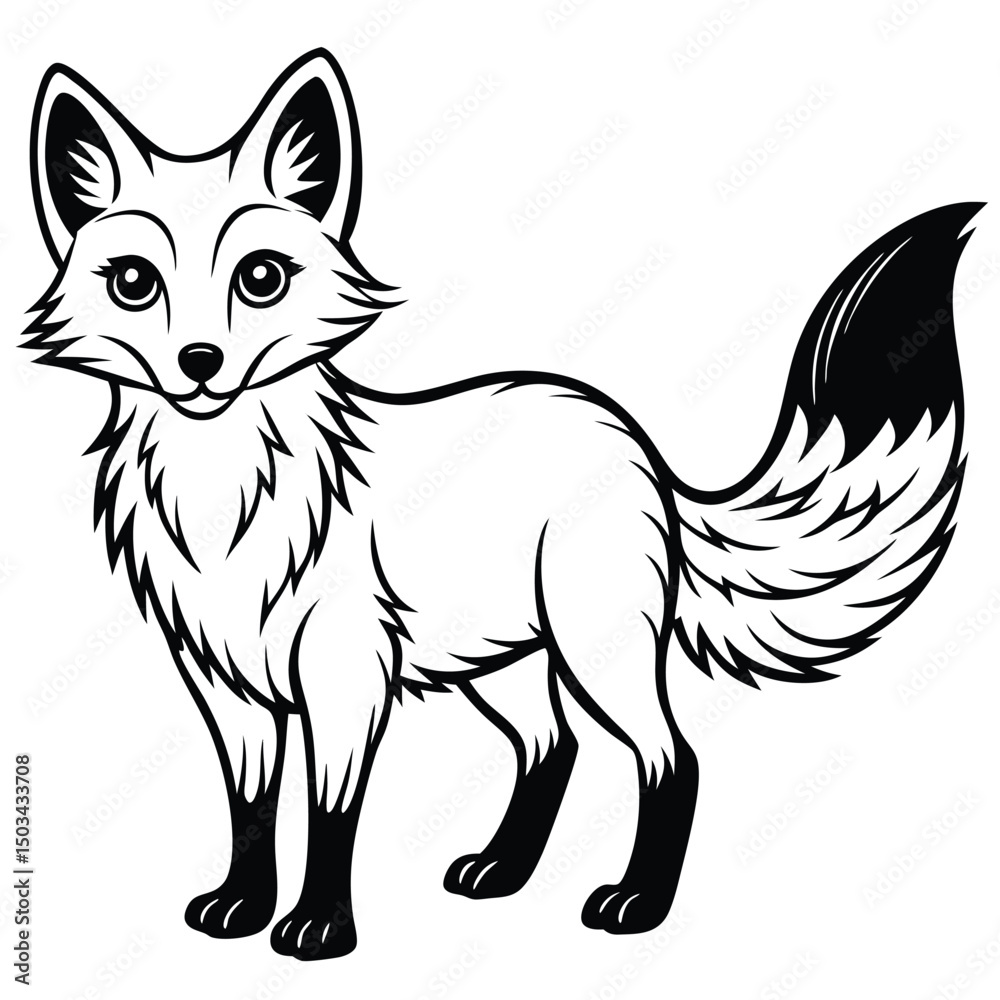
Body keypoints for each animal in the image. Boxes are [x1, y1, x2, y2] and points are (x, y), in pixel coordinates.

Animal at [24, 48, 976, 961]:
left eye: (262, 277)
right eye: (134, 282)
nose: (200, 363)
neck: (223, 502)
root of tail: (632, 439)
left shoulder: (345, 677)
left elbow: (330, 816)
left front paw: (319, 929)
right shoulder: (229, 687)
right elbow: (250, 810)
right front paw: (241, 908)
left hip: (597, 649)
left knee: (672, 757)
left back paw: (637, 904)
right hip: (503, 665)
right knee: (554, 748)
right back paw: (503, 871)